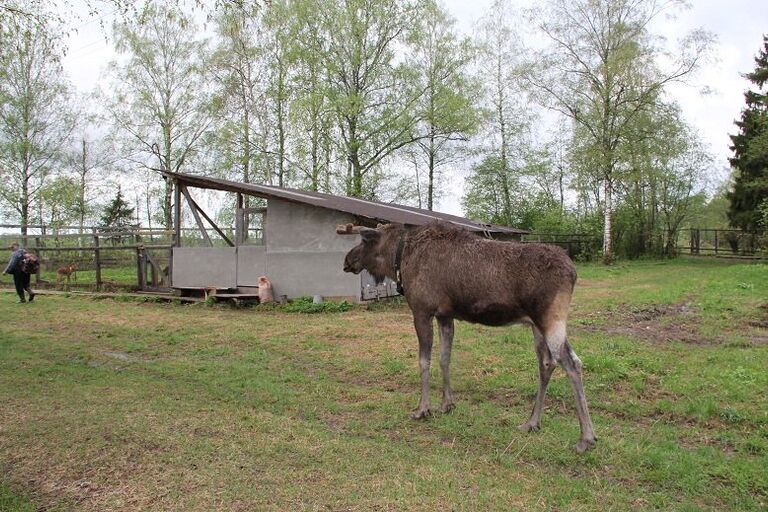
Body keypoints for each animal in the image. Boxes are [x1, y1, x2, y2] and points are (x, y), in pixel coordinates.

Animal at [342, 222, 600, 454]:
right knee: (547, 364)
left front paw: (422, 409)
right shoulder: (445, 315)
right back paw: (532, 423)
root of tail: (573, 272)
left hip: (550, 319)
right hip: (538, 325)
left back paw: (585, 438)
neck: (399, 259)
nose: (346, 260)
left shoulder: (422, 311)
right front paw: (447, 404)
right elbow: (444, 358)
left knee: (571, 363)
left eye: (364, 240)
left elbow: (424, 361)